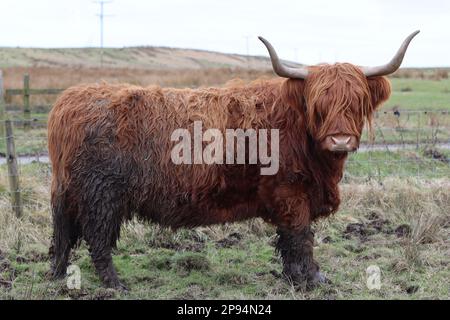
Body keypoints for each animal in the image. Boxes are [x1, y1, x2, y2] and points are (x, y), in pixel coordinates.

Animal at [48, 31, 418, 288]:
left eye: (356, 103)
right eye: (319, 105)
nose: (339, 139)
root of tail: (69, 101)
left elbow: (288, 240)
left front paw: (293, 278)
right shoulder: (291, 192)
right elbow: (301, 237)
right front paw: (313, 279)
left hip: (69, 191)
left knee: (63, 232)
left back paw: (56, 274)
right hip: (101, 195)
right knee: (97, 238)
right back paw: (115, 284)